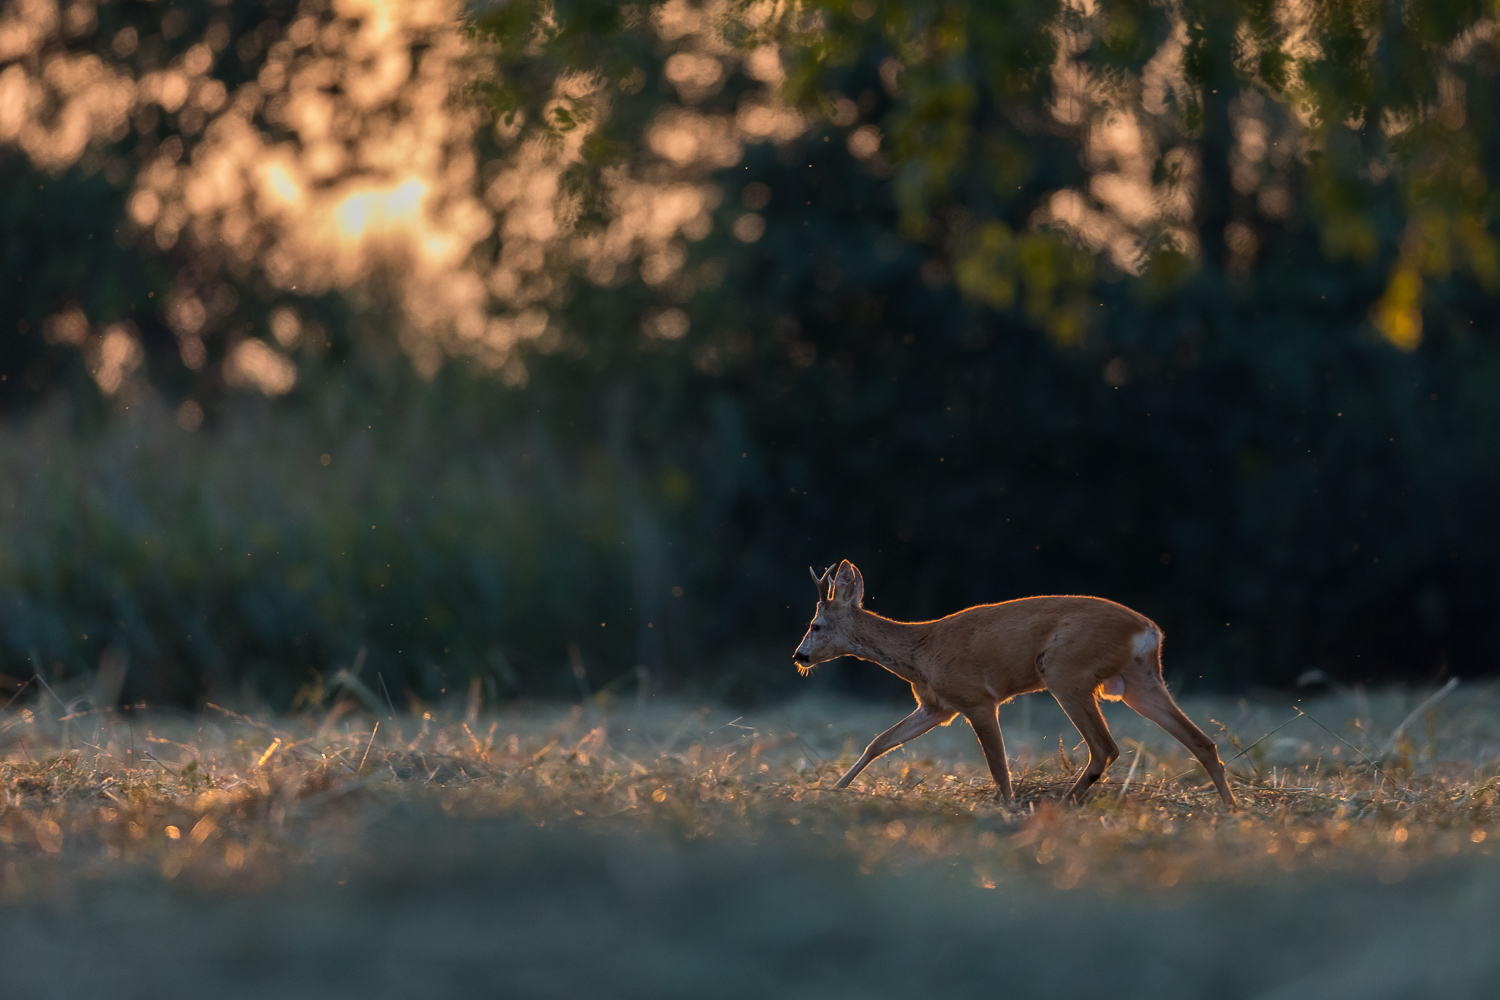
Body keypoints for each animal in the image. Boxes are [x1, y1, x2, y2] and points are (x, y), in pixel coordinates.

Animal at [792, 563, 1236, 803]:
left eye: (815, 625)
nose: (799, 656)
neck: (920, 650)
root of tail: (1147, 630)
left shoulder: (976, 699)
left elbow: (998, 765)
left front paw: (1005, 807)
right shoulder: (937, 706)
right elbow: (879, 742)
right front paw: (834, 789)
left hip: (1065, 671)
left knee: (1104, 748)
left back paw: (1061, 804)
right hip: (1140, 681)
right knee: (1202, 742)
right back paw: (1230, 809)